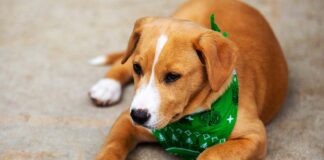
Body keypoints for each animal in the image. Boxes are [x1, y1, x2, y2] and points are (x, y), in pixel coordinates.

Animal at [88, 0, 286, 159]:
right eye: (137, 68)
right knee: (122, 61)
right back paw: (107, 87)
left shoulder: (255, 136)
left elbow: (211, 153)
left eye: (173, 76)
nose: (138, 116)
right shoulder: (125, 120)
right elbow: (112, 146)